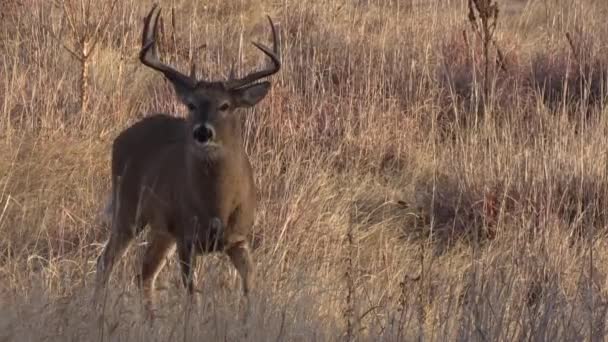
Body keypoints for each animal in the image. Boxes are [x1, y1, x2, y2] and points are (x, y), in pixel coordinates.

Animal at [94, 4, 280, 316]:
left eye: (225, 106)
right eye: (191, 105)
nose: (202, 131)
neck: (216, 205)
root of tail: (121, 137)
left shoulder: (239, 238)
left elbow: (250, 285)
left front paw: (248, 319)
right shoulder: (186, 237)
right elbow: (193, 295)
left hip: (161, 229)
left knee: (144, 272)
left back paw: (151, 319)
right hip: (129, 209)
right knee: (107, 262)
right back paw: (97, 309)